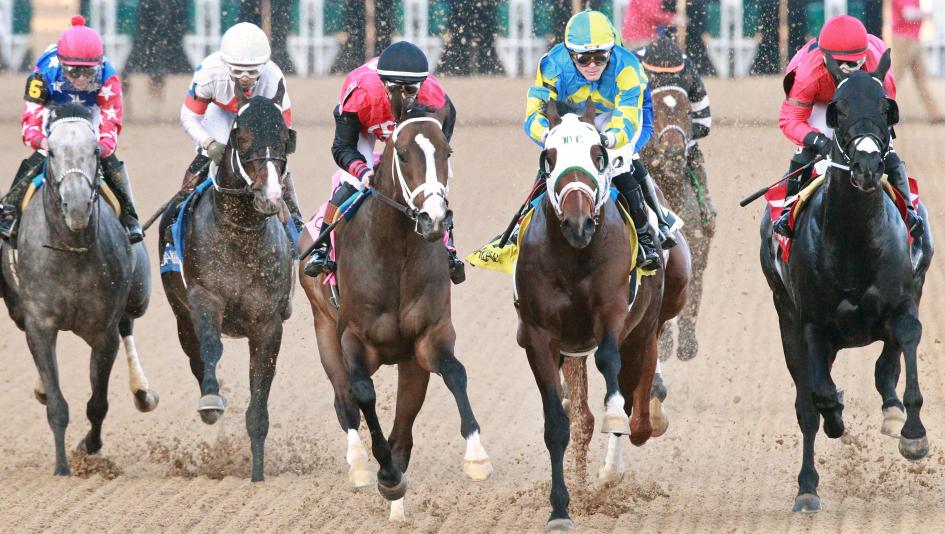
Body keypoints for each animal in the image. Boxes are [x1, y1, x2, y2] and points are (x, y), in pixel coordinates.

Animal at [159, 88, 296, 482]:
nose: (270, 196)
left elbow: (259, 394)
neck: (240, 234)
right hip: (180, 314)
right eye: (241, 136)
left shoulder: (268, 323)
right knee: (196, 355)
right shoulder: (205, 299)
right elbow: (209, 349)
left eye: (284, 137)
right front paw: (210, 400)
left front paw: (257, 475)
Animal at [300, 102, 494, 520]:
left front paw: (476, 456)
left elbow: (455, 373)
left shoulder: (429, 336)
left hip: (408, 362)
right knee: (344, 400)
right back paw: (360, 464)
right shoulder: (353, 338)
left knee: (403, 427)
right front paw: (385, 474)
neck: (395, 250)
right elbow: (362, 393)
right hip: (323, 329)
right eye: (402, 154)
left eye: (447, 152)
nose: (434, 218)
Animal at [516, 101, 684, 532]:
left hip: (649, 323)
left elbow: (614, 377)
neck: (574, 256)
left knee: (637, 403)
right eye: (550, 156)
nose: (578, 223)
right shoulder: (541, 336)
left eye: (598, 153)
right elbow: (559, 426)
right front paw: (561, 508)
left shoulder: (613, 313)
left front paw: (619, 423)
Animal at [640, 85, 716, 360]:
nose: (673, 152)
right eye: (654, 110)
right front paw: (663, 346)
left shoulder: (695, 242)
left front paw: (685, 343)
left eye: (688, 111)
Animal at [756, 50, 932, 516]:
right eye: (839, 110)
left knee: (887, 361)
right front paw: (834, 415)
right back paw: (807, 487)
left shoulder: (904, 300)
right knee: (807, 404)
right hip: (786, 318)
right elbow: (818, 397)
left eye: (886, 106)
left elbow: (904, 347)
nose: (869, 166)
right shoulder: (811, 325)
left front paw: (912, 433)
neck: (854, 240)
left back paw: (890, 408)